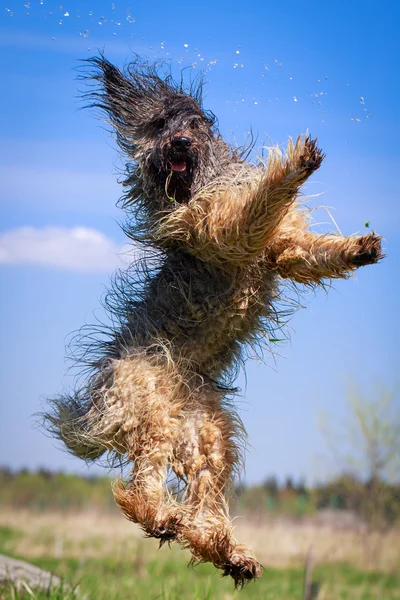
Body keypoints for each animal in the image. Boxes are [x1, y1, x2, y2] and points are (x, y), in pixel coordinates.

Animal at [44, 56, 384, 584]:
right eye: (161, 125)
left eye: (193, 124)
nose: (180, 143)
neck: (198, 183)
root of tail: (97, 402)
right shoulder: (224, 228)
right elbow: (259, 203)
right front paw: (295, 163)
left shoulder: (283, 248)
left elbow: (313, 252)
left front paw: (358, 247)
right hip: (151, 405)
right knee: (139, 489)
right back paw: (164, 517)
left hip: (210, 439)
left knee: (202, 504)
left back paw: (228, 552)